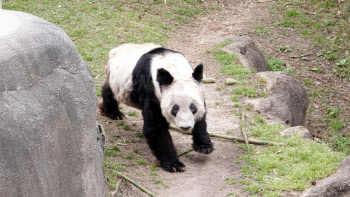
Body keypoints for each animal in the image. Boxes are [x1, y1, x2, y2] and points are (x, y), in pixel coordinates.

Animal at [101, 43, 213, 172]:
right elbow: (155, 127)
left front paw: (204, 146)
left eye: (192, 107)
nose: (185, 127)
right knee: (109, 90)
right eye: (175, 108)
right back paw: (114, 113)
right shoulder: (152, 90)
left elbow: (201, 117)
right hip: (116, 79)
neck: (174, 69)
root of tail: (116, 50)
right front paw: (175, 164)